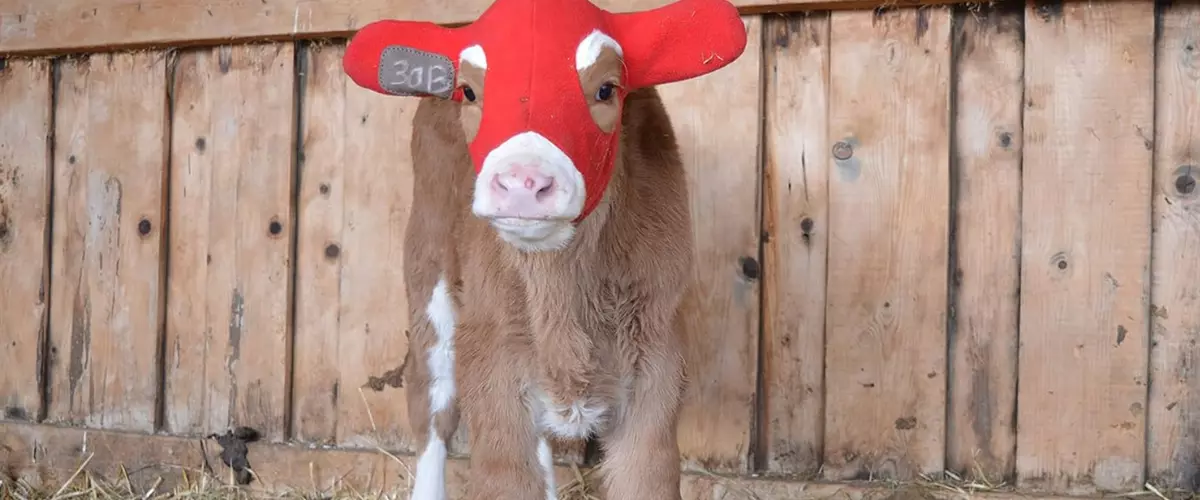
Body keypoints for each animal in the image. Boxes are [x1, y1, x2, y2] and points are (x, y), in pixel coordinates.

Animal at [341, 0, 749, 498]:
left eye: (606, 89)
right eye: (470, 92)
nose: (522, 182)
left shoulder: (657, 360)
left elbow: (644, 477)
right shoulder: (490, 358)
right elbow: (508, 477)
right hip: (429, 265)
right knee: (431, 403)